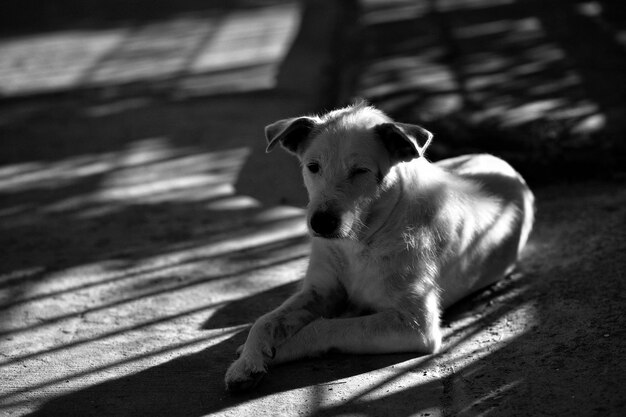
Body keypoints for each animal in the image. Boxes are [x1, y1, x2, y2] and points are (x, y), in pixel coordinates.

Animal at [224, 102, 532, 392]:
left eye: (360, 170)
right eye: (313, 167)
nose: (321, 223)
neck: (359, 242)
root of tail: (501, 162)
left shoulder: (416, 325)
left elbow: (325, 327)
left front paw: (277, 350)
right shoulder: (319, 290)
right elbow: (264, 320)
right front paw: (247, 361)